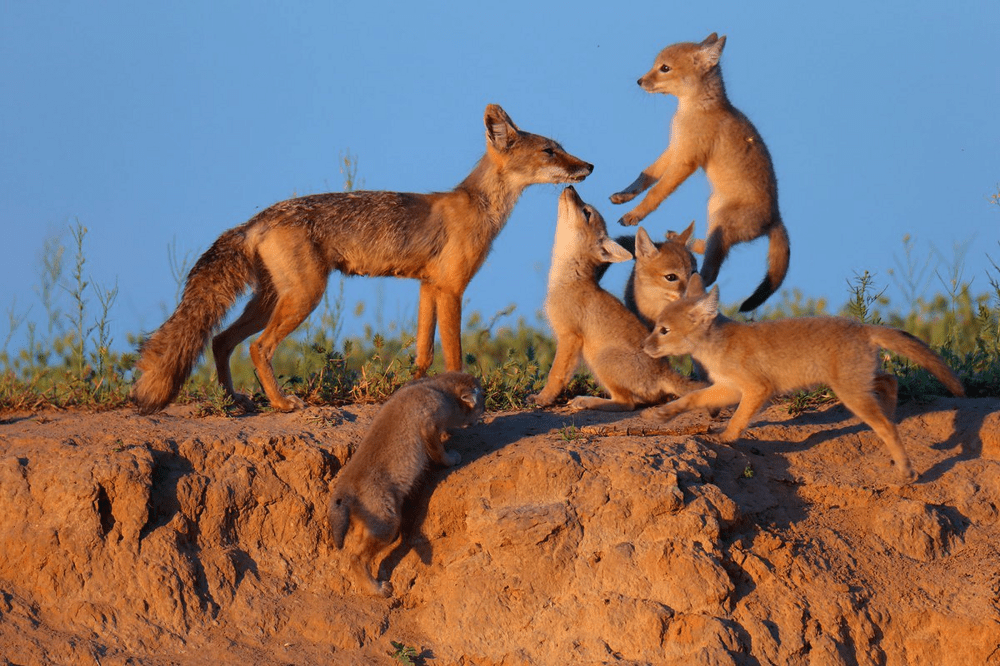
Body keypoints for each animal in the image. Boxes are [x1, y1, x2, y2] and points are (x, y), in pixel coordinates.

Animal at [608, 31, 788, 312]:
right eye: (656, 65)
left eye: (664, 68)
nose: (639, 81)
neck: (695, 109)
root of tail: (776, 218)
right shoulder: (674, 148)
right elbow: (646, 176)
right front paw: (624, 196)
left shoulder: (685, 161)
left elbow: (657, 191)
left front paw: (634, 215)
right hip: (713, 211)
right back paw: (680, 239)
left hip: (719, 221)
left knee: (711, 273)